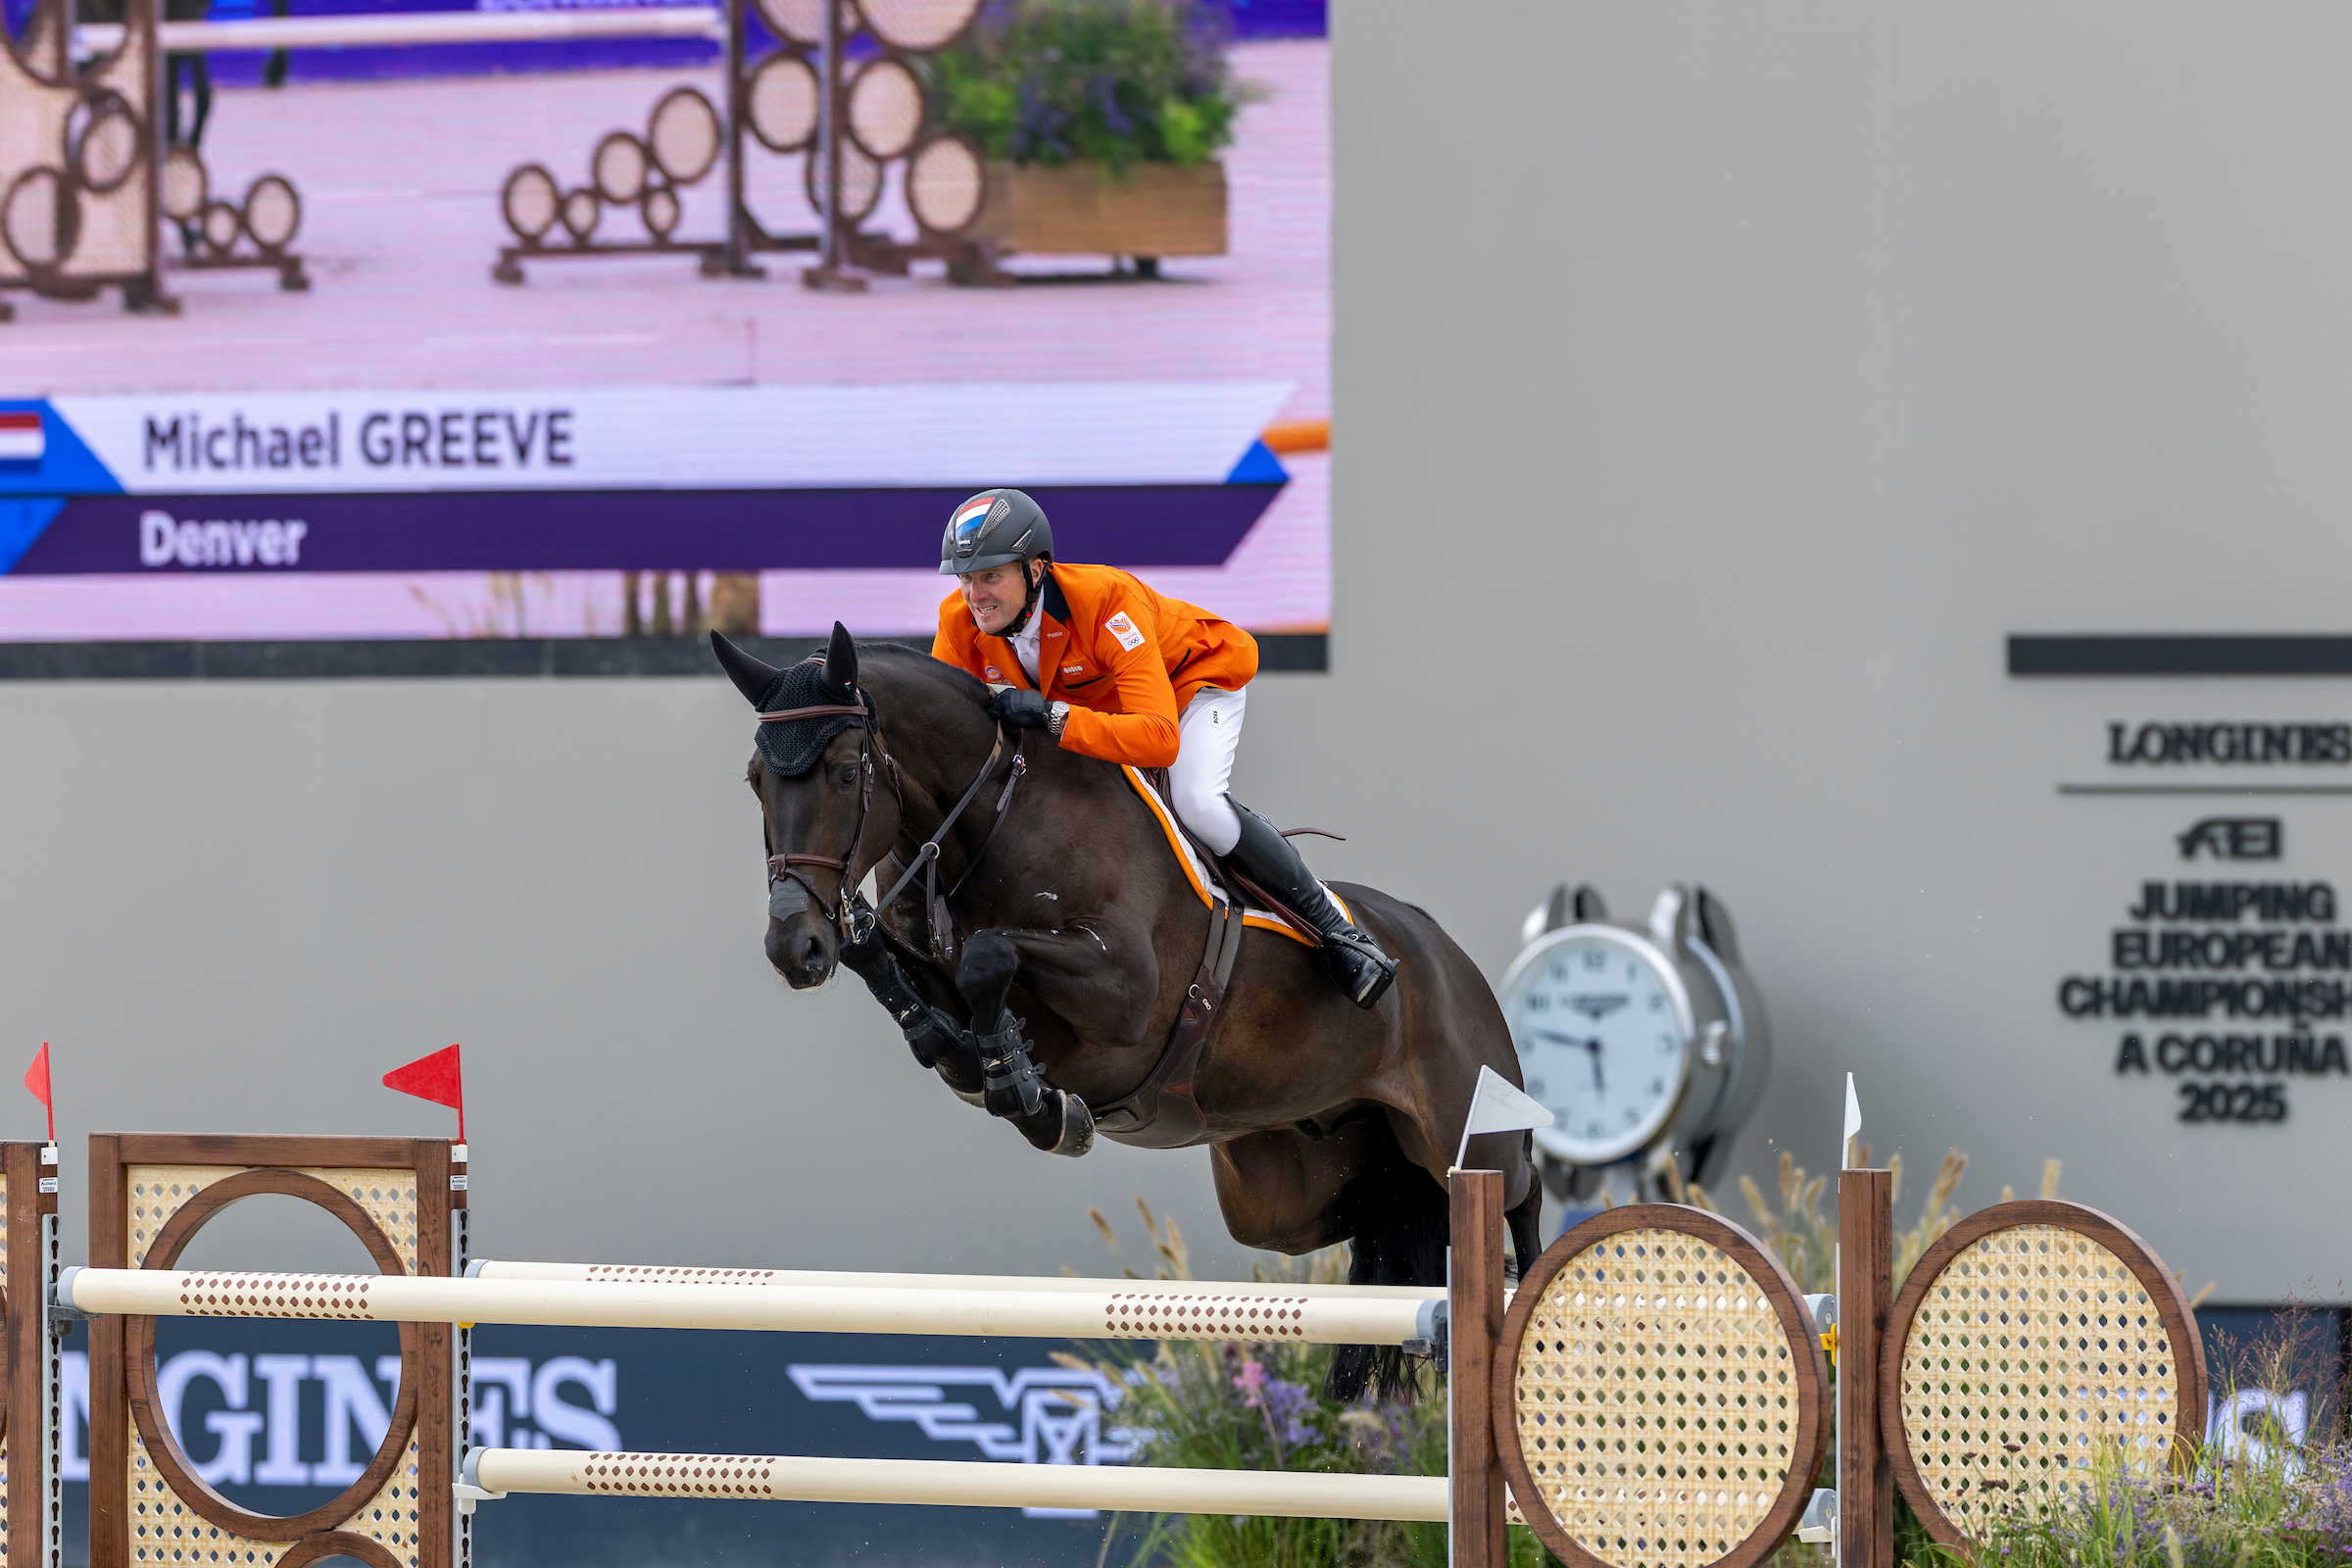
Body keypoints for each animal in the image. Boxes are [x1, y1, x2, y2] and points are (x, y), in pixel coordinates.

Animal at [715, 627, 1542, 1397]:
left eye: (845, 772)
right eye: (756, 781)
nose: (793, 946)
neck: (990, 817)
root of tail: (1444, 951)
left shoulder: (1125, 993)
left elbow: (987, 953)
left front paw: (1028, 1092)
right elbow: (891, 966)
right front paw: (989, 1066)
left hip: (1463, 1128)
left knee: (1517, 1190)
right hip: (1287, 1188)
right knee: (1374, 1220)